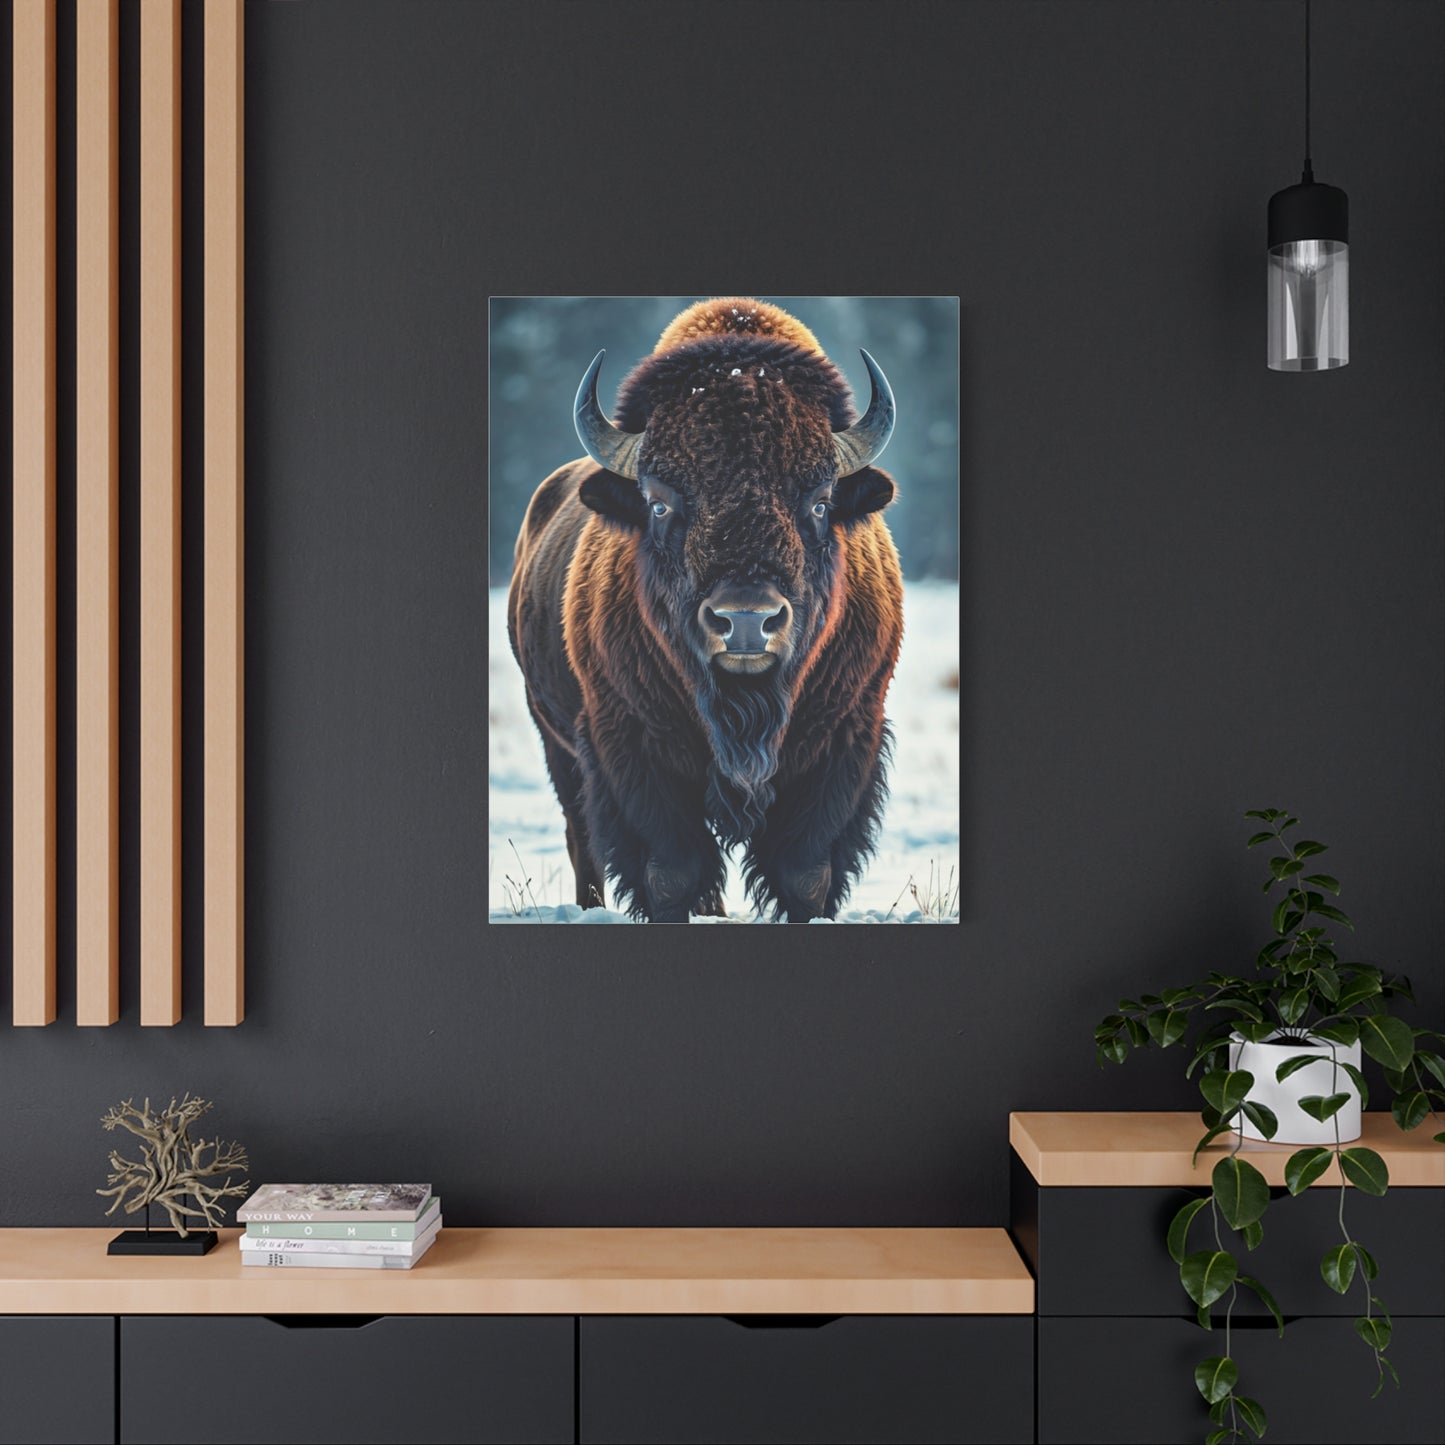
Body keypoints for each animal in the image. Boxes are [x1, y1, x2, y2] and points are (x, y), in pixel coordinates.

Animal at [507, 298, 904, 921]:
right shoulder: (631, 745)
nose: (746, 621)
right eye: (659, 502)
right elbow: (671, 870)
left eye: (820, 501)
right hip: (555, 739)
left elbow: (805, 872)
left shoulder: (844, 739)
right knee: (581, 835)